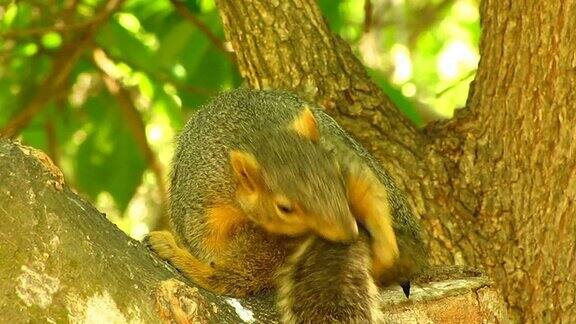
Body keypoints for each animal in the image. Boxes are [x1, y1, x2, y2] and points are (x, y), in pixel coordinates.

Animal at [147, 88, 428, 318]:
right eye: (284, 208)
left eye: (336, 174)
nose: (349, 232)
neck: (256, 131)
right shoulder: (203, 198)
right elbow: (206, 242)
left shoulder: (345, 158)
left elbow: (370, 189)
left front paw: (384, 245)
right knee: (232, 277)